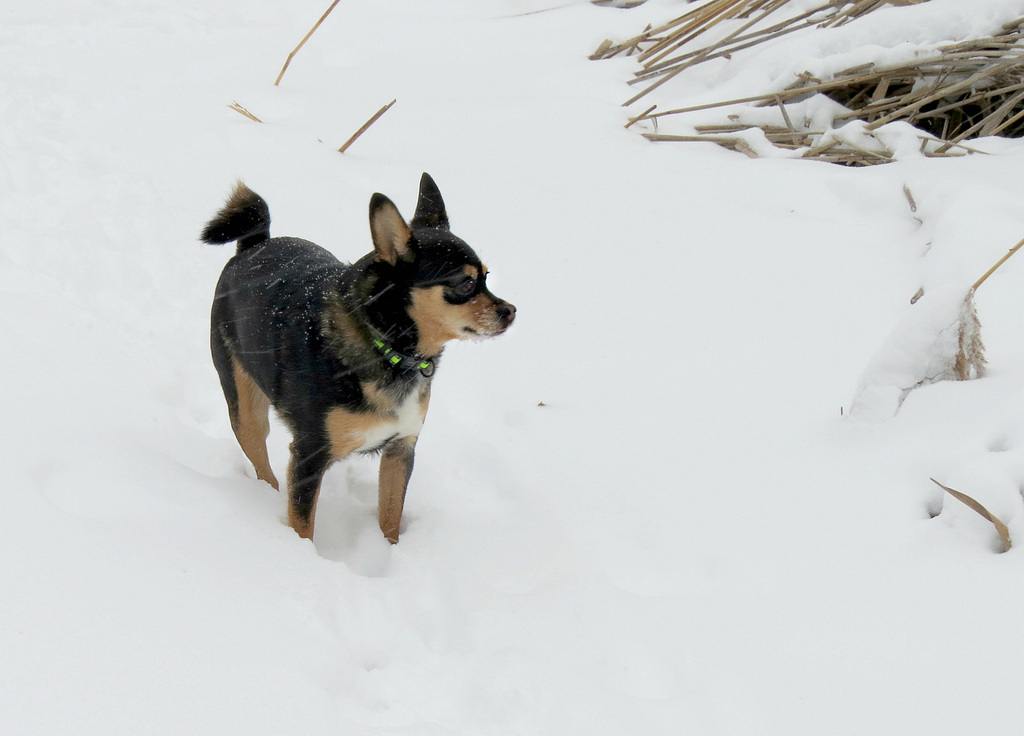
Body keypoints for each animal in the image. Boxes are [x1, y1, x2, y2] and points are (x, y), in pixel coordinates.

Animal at [199, 172, 516, 540]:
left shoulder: (400, 449)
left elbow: (391, 515)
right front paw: (301, 552)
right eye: (465, 283)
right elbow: (303, 524)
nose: (511, 311)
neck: (388, 348)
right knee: (263, 465)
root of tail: (253, 243)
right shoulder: (309, 455)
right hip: (246, 411)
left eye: (486, 277)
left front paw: (389, 549)